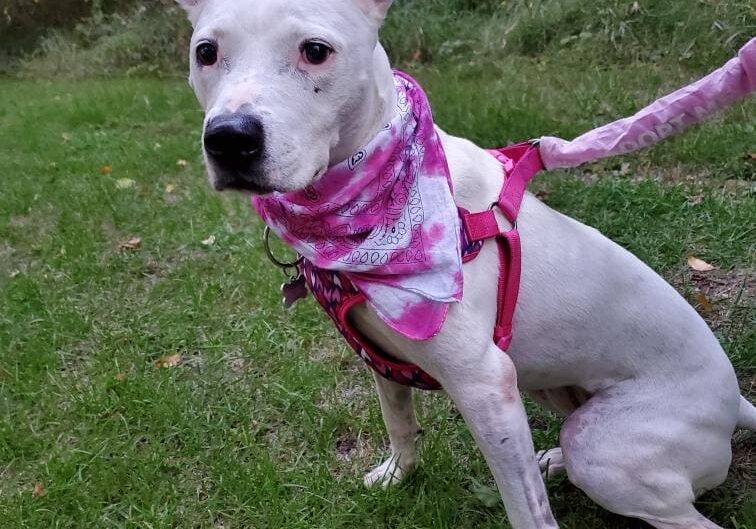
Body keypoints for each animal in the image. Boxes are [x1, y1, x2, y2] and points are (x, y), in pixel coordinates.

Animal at [176, 2, 752, 524]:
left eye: (315, 51)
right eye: (206, 52)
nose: (229, 138)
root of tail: (733, 404)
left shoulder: (485, 385)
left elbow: (525, 506)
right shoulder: (381, 358)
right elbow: (399, 421)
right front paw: (399, 474)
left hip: (605, 449)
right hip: (553, 391)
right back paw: (553, 460)